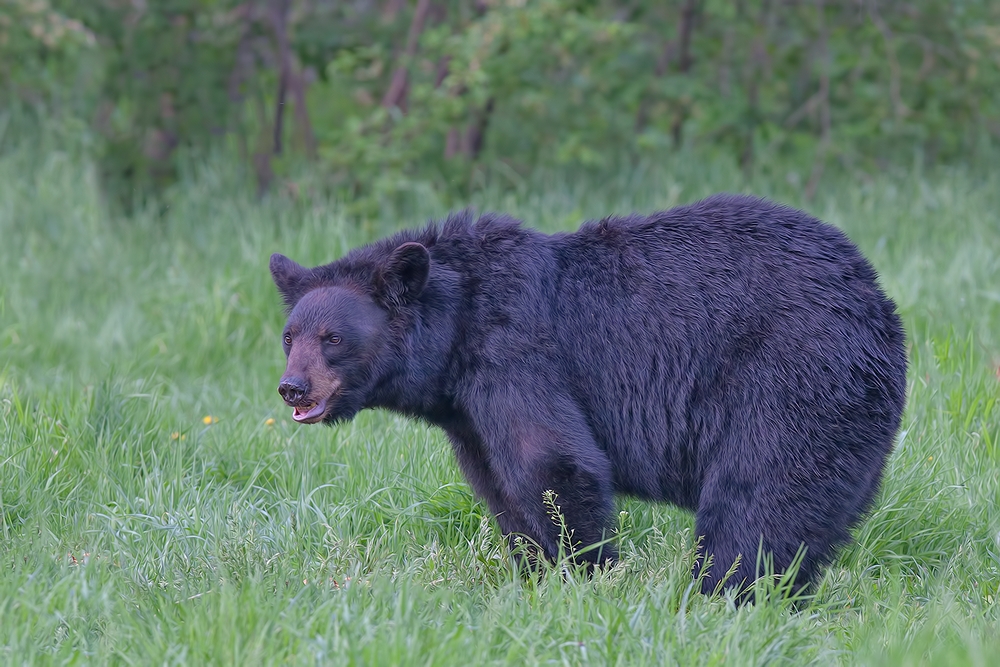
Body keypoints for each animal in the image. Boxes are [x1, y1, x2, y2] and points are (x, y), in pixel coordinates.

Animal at [270, 193, 912, 596]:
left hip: (790, 381)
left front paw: (585, 576)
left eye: (332, 338)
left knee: (757, 499)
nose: (292, 387)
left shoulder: (515, 356)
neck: (455, 332)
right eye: (289, 335)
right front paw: (534, 574)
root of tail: (877, 303)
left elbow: (552, 463)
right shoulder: (467, 414)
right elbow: (502, 490)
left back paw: (722, 593)